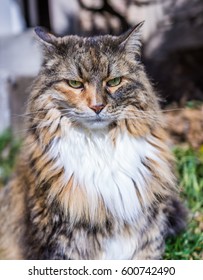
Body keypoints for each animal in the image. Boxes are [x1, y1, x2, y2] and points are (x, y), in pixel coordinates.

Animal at [0, 23, 186, 260]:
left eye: (114, 82)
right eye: (75, 83)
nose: (97, 106)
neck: (100, 148)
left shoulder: (148, 238)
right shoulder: (61, 244)